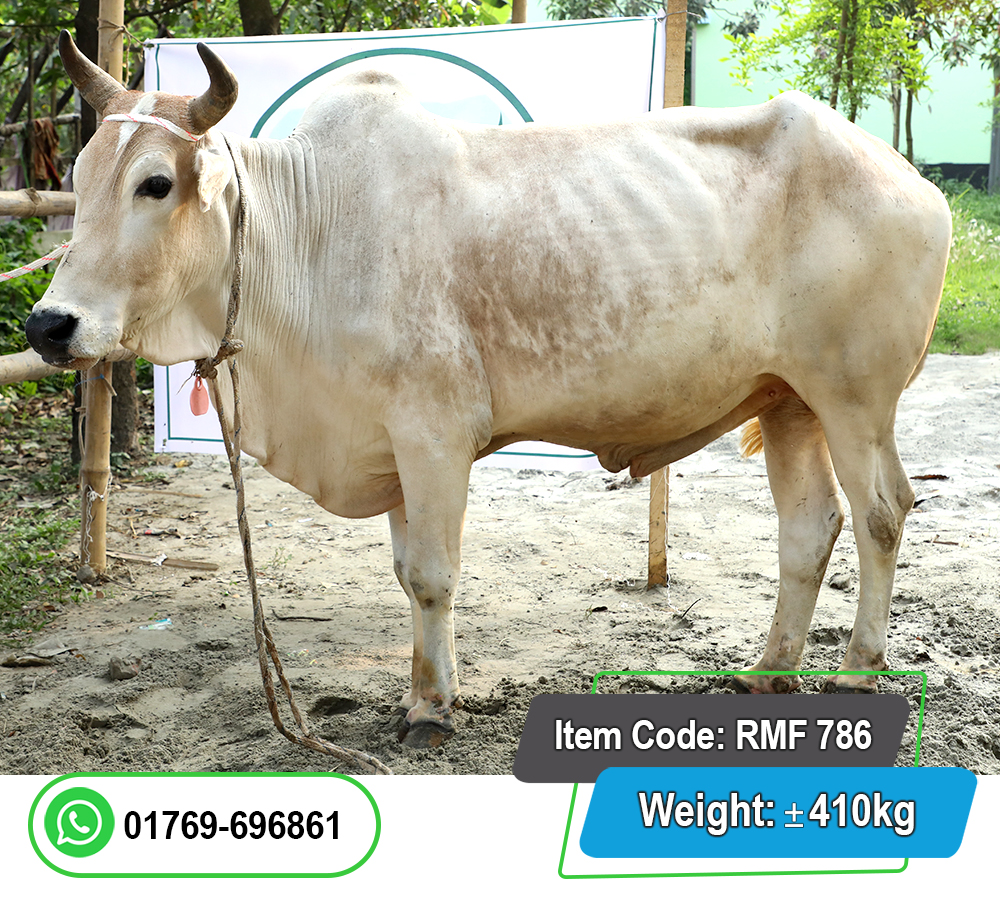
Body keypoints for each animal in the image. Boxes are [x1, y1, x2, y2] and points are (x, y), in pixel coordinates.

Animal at [27, 31, 950, 748]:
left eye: (155, 182)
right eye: (80, 173)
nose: (48, 325)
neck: (307, 231)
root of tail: (912, 179)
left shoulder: (433, 433)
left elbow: (435, 573)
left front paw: (432, 711)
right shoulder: (390, 445)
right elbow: (407, 573)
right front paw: (423, 691)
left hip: (855, 399)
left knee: (881, 514)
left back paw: (857, 674)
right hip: (789, 399)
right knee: (810, 528)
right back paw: (768, 673)